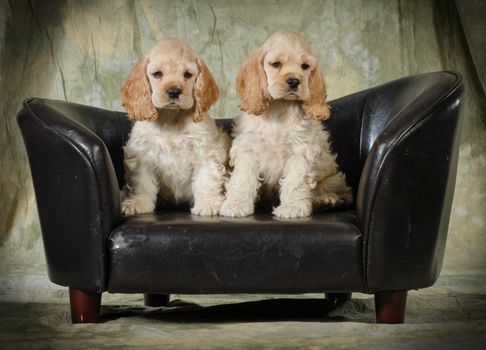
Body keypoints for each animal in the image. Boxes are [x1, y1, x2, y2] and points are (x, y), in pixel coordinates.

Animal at [120, 39, 229, 217]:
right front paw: (138, 203)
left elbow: (207, 178)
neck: (171, 117)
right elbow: (142, 183)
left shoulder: (206, 149)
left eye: (188, 74)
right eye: (157, 74)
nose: (173, 91)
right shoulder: (143, 154)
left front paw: (208, 204)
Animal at [221, 31, 354, 219]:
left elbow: (295, 180)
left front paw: (292, 208)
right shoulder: (248, 148)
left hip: (334, 179)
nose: (293, 81)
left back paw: (327, 201)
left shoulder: (301, 150)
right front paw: (236, 205)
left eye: (305, 66)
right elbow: (242, 178)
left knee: (345, 193)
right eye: (276, 64)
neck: (280, 108)